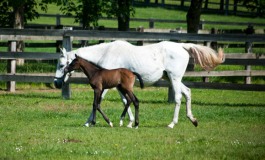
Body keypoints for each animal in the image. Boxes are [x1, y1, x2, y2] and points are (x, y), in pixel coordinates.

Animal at [53, 40, 223, 129]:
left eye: (61, 65)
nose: (56, 83)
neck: (107, 53)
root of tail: (182, 46)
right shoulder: (119, 86)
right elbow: (125, 101)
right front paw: (128, 122)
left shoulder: (105, 87)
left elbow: (98, 102)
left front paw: (89, 122)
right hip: (172, 78)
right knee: (187, 92)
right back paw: (193, 120)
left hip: (174, 79)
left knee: (178, 98)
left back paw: (172, 123)